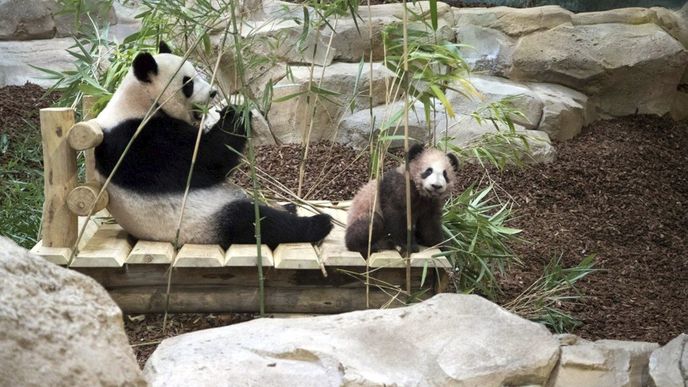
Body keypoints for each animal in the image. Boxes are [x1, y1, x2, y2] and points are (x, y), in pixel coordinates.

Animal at [94, 42, 334, 249]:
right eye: (188, 83)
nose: (213, 93)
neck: (138, 101)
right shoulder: (136, 139)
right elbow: (204, 160)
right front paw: (235, 113)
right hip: (202, 220)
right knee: (255, 223)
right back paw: (318, 224)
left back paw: (290, 207)